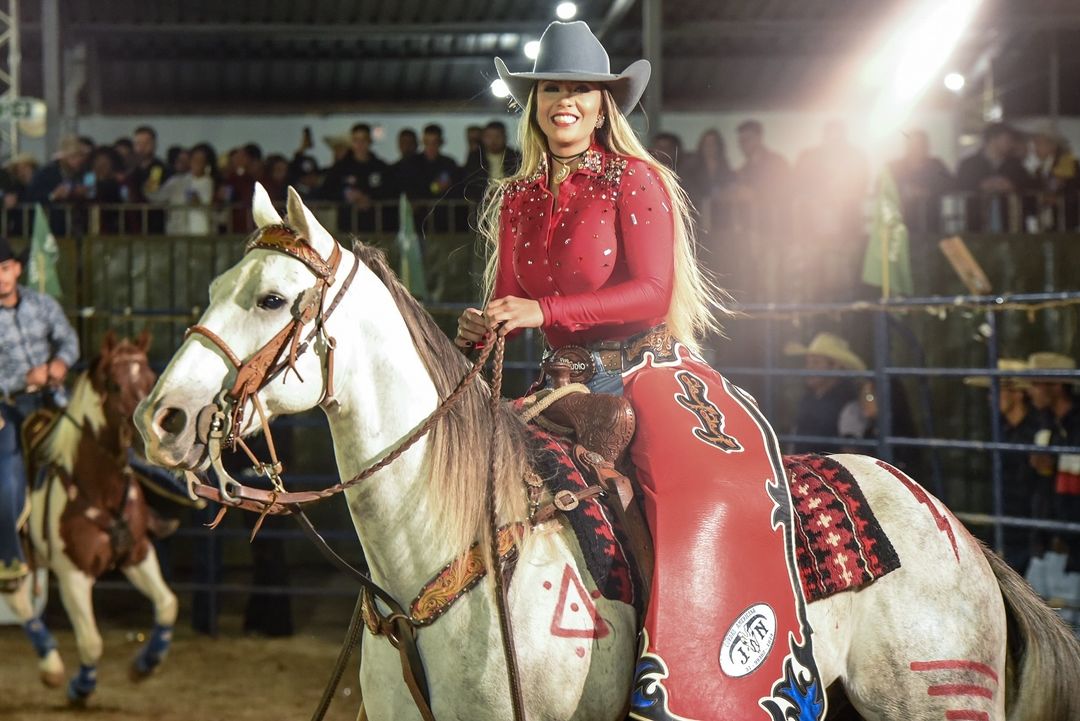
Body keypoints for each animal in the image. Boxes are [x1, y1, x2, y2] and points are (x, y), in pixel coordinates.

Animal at [135, 187, 1080, 721]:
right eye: (215, 287)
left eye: (272, 298)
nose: (162, 415)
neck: (445, 556)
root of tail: (960, 533)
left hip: (937, 700)